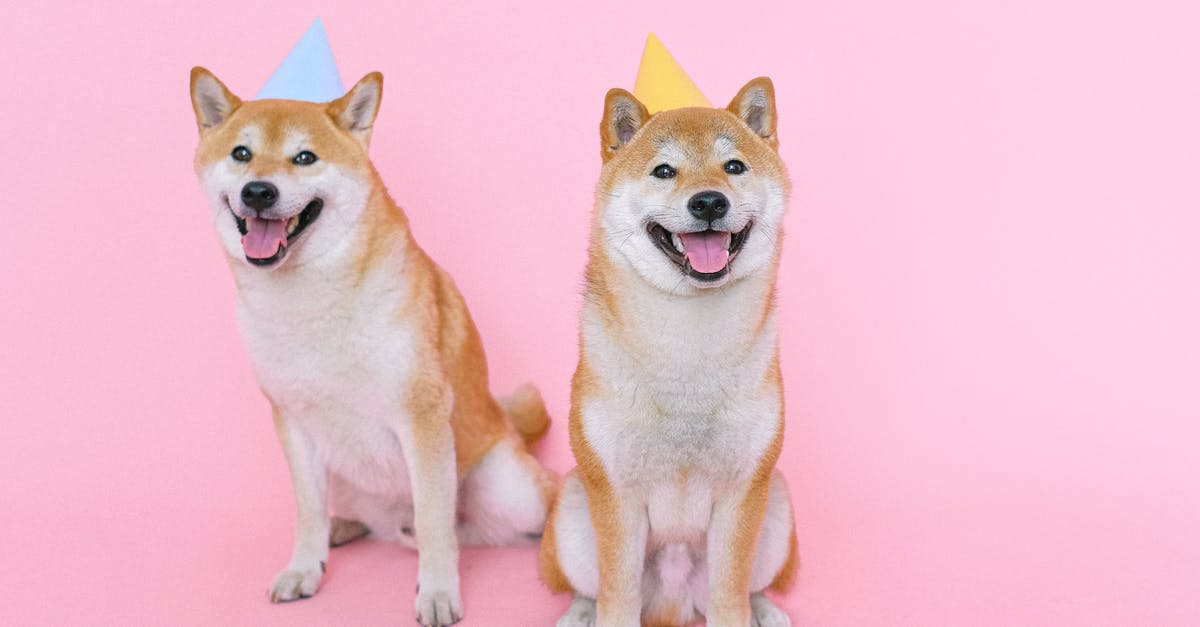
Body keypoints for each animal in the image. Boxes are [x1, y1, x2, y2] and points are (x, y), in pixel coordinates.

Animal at [189, 68, 559, 624]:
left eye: (304, 158)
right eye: (241, 154)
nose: (258, 192)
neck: (310, 302)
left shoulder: (421, 419)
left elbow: (434, 521)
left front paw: (437, 591)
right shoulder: (292, 422)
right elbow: (307, 511)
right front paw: (305, 567)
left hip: (507, 487)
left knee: (482, 524)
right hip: (343, 470)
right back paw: (345, 530)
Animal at [542, 35, 796, 624]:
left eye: (733, 166)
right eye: (664, 172)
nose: (708, 201)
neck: (688, 352)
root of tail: (675, 601)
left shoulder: (744, 491)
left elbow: (730, 598)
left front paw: (745, 613)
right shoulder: (613, 494)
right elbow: (616, 598)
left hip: (778, 508)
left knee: (750, 587)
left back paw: (768, 611)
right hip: (572, 513)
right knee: (587, 588)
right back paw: (576, 613)